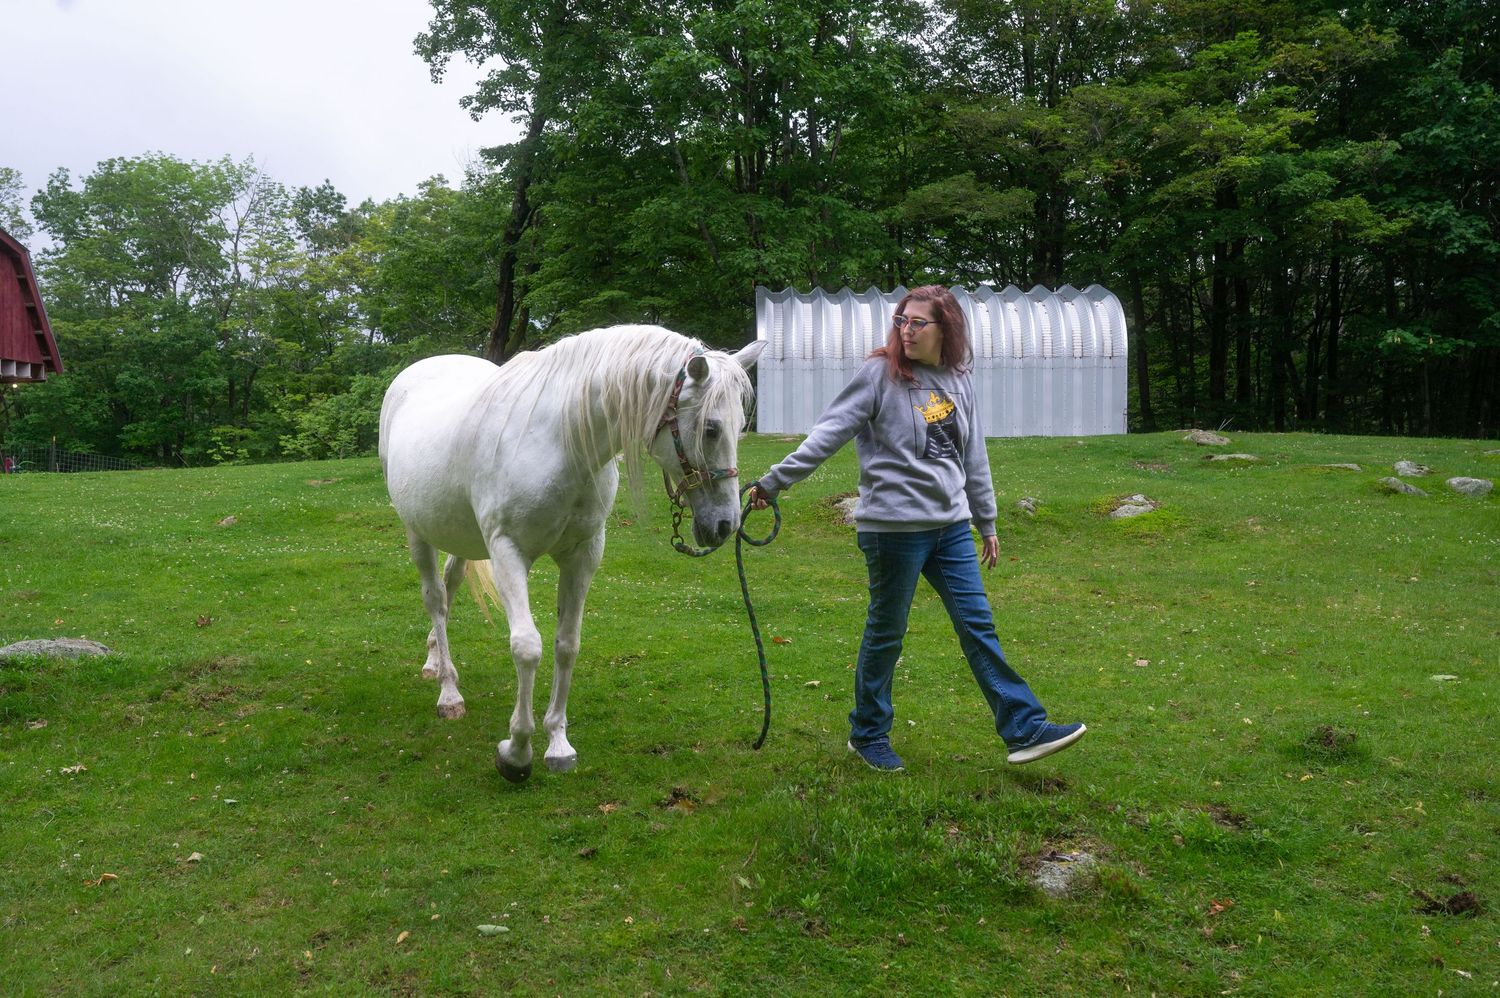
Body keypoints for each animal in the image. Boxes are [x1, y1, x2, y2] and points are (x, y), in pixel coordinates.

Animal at [378, 325, 764, 782]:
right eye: (711, 429)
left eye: (739, 426)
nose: (725, 524)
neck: (560, 442)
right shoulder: (507, 551)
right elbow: (527, 647)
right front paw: (517, 752)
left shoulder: (582, 555)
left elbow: (567, 644)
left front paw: (557, 743)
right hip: (417, 532)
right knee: (435, 599)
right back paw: (448, 692)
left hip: (460, 534)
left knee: (451, 587)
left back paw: (435, 660)